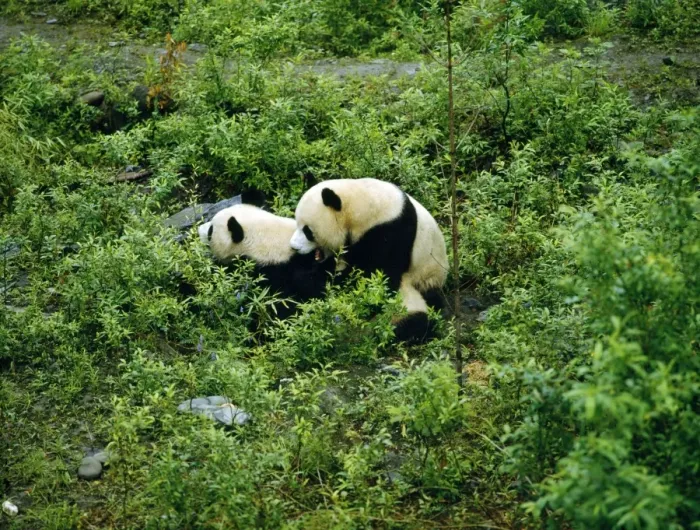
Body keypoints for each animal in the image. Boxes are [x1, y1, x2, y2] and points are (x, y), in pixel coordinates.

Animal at [289, 178, 448, 343]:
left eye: (307, 231)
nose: (293, 246)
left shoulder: (391, 233)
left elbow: (374, 281)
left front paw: (305, 277)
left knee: (415, 321)